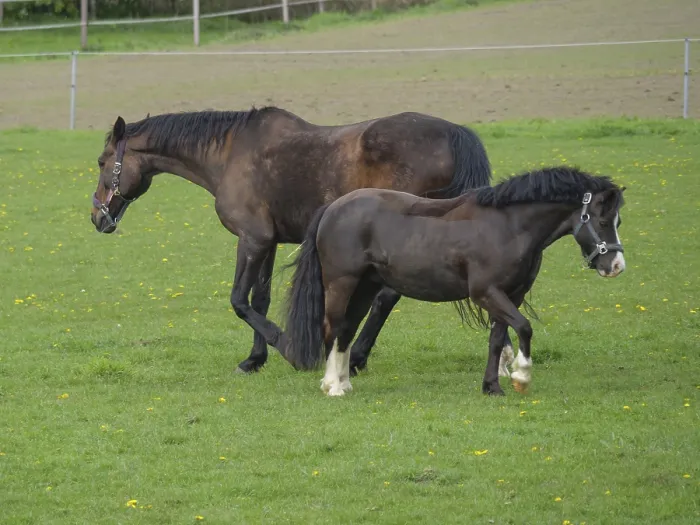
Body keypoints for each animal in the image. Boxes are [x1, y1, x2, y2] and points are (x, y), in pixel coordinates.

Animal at [89, 106, 502, 375]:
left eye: (101, 161)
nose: (97, 216)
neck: (230, 154)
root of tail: (454, 133)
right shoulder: (268, 242)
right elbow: (260, 298)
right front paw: (254, 359)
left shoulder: (252, 239)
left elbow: (239, 301)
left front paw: (286, 347)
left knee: (386, 296)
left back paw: (355, 357)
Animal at [283, 166, 626, 396]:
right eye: (602, 220)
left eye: (618, 221)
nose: (617, 266)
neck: (508, 226)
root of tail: (333, 207)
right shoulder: (486, 292)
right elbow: (524, 327)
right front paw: (521, 376)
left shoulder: (511, 295)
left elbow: (498, 338)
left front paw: (492, 386)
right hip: (341, 283)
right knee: (334, 327)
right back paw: (332, 386)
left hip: (365, 287)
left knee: (346, 330)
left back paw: (343, 383)